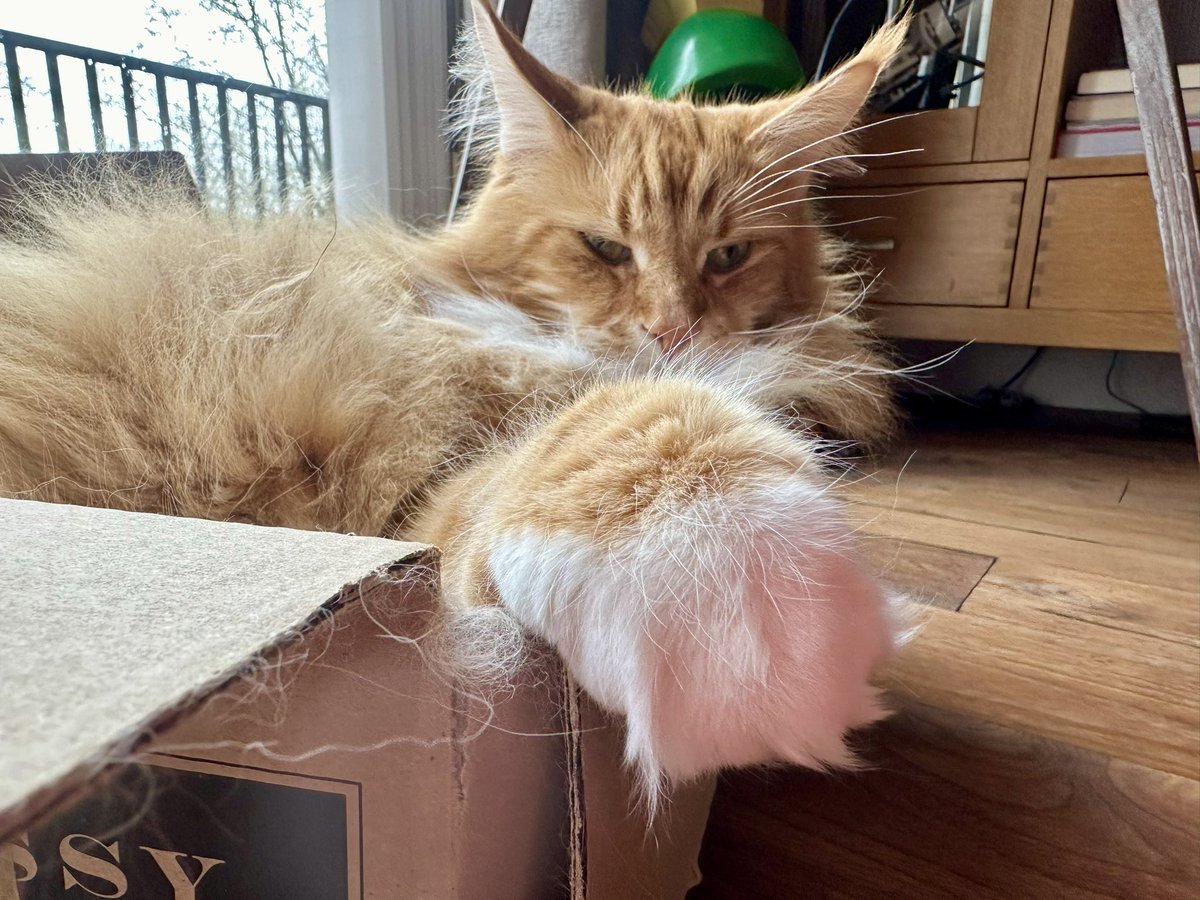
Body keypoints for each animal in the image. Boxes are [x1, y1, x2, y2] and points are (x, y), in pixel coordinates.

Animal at [0, 0, 907, 801]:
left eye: (729, 256)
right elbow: (632, 421)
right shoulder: (423, 497)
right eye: (605, 249)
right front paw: (749, 616)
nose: (672, 332)